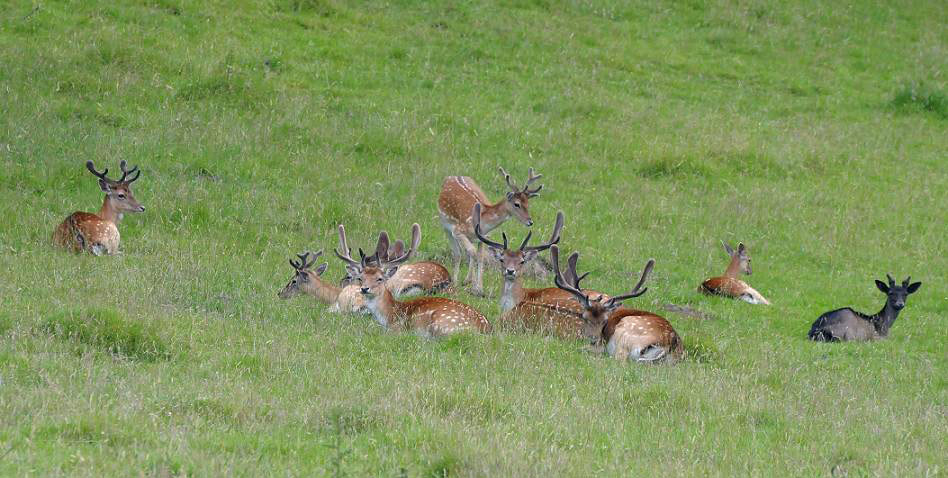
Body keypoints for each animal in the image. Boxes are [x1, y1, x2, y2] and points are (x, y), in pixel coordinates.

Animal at [336, 223, 492, 338]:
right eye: (361, 278)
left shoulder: (396, 328)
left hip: (441, 323)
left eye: (380, 279)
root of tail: (486, 328)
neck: (389, 314)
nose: (364, 289)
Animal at [437, 167, 543, 296]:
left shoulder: (484, 237)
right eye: (516, 204)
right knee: (457, 253)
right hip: (445, 225)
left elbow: (480, 257)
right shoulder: (458, 231)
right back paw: (455, 282)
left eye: (528, 203)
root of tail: (451, 177)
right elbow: (472, 252)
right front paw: (470, 283)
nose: (530, 222)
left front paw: (479, 288)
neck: (482, 221)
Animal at [551, 246, 684, 363]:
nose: (593, 340)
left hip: (626, 334)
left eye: (605, 321)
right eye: (584, 317)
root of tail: (671, 343)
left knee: (618, 359)